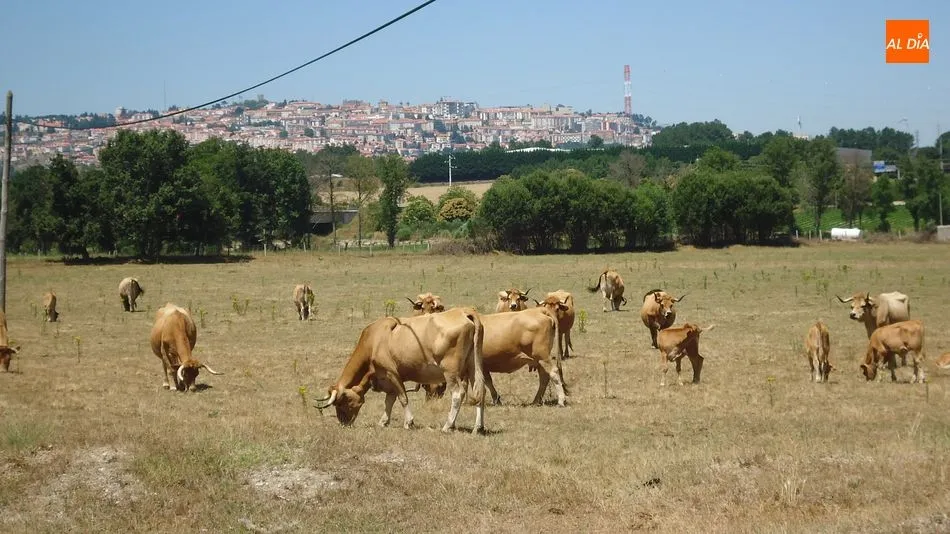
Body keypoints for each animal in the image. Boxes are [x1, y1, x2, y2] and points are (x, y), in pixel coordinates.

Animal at [313, 307, 486, 434]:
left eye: (340, 403)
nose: (343, 423)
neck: (374, 340)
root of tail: (464, 312)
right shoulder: (386, 378)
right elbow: (389, 400)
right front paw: (383, 421)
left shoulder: (392, 373)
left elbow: (402, 398)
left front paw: (408, 422)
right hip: (473, 366)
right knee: (480, 391)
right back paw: (478, 427)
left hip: (450, 371)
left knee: (457, 394)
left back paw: (447, 425)